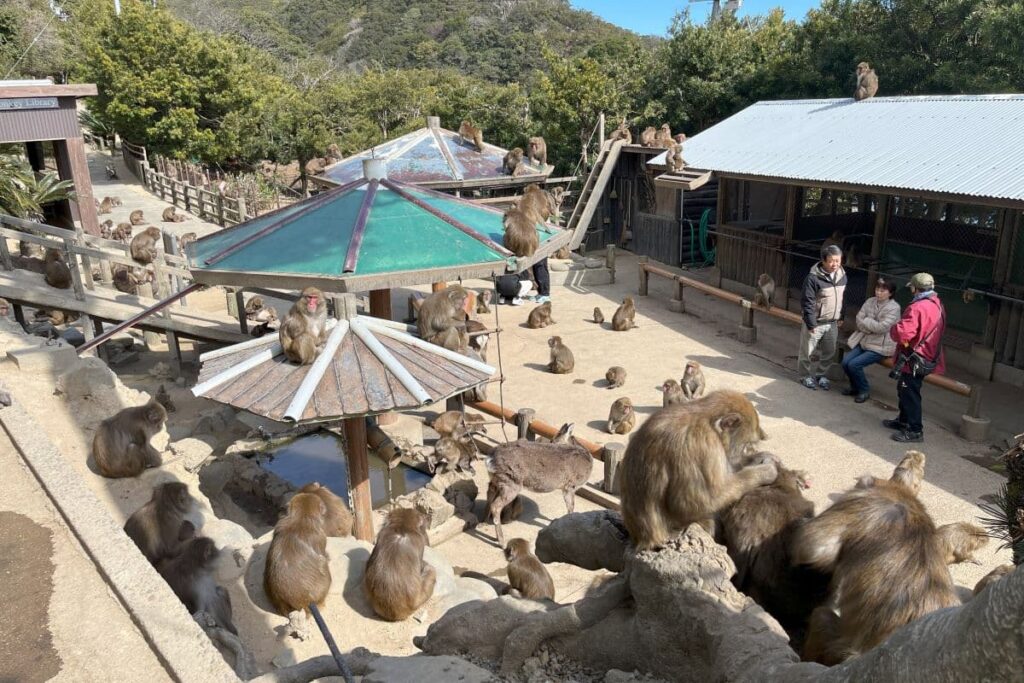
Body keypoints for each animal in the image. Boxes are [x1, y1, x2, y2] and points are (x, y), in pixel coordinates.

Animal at [619, 390, 775, 551]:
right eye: (746, 444)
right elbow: (690, 502)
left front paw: (757, 458)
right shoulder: (704, 446)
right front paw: (764, 472)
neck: (708, 421)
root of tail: (641, 540)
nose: (744, 451)